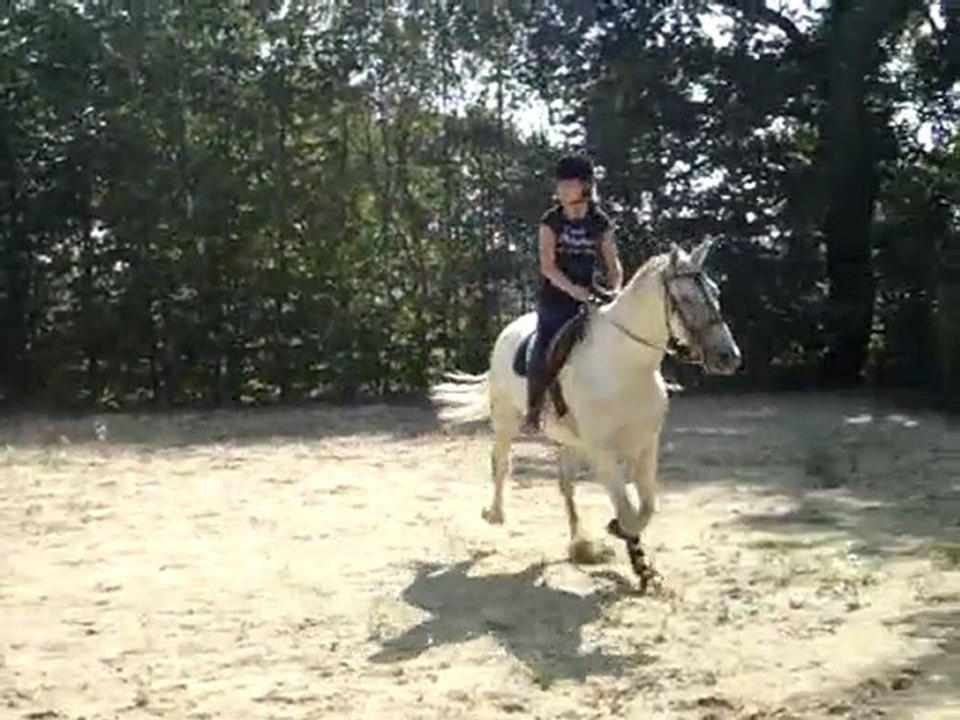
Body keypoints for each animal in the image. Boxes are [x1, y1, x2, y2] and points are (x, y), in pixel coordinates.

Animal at [428, 239, 741, 591]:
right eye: (686, 298)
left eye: (715, 292)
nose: (728, 357)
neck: (626, 365)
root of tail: (511, 328)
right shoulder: (602, 451)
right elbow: (628, 509)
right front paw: (624, 539)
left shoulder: (646, 445)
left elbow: (646, 507)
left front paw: (642, 566)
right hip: (506, 419)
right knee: (501, 462)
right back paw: (495, 515)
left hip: (568, 441)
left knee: (566, 484)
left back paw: (580, 543)